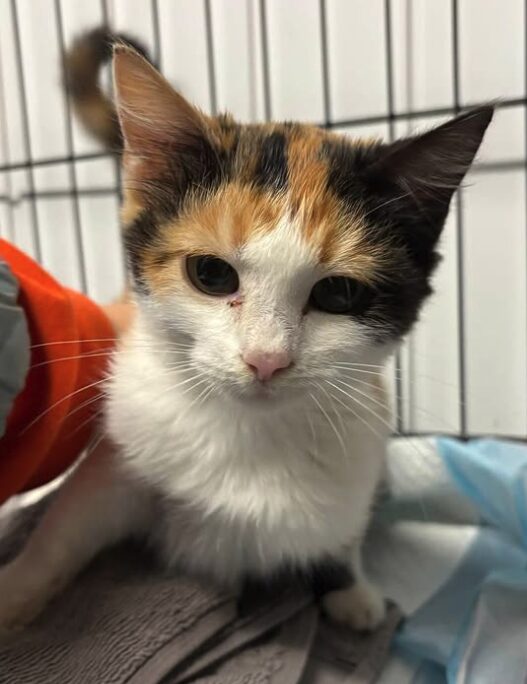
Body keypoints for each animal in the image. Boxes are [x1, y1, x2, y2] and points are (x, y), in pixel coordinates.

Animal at [0, 41, 490, 632]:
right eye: (211, 274)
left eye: (339, 293)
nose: (266, 360)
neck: (248, 433)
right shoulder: (118, 457)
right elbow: (66, 527)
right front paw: (14, 592)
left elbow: (343, 532)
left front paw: (351, 589)